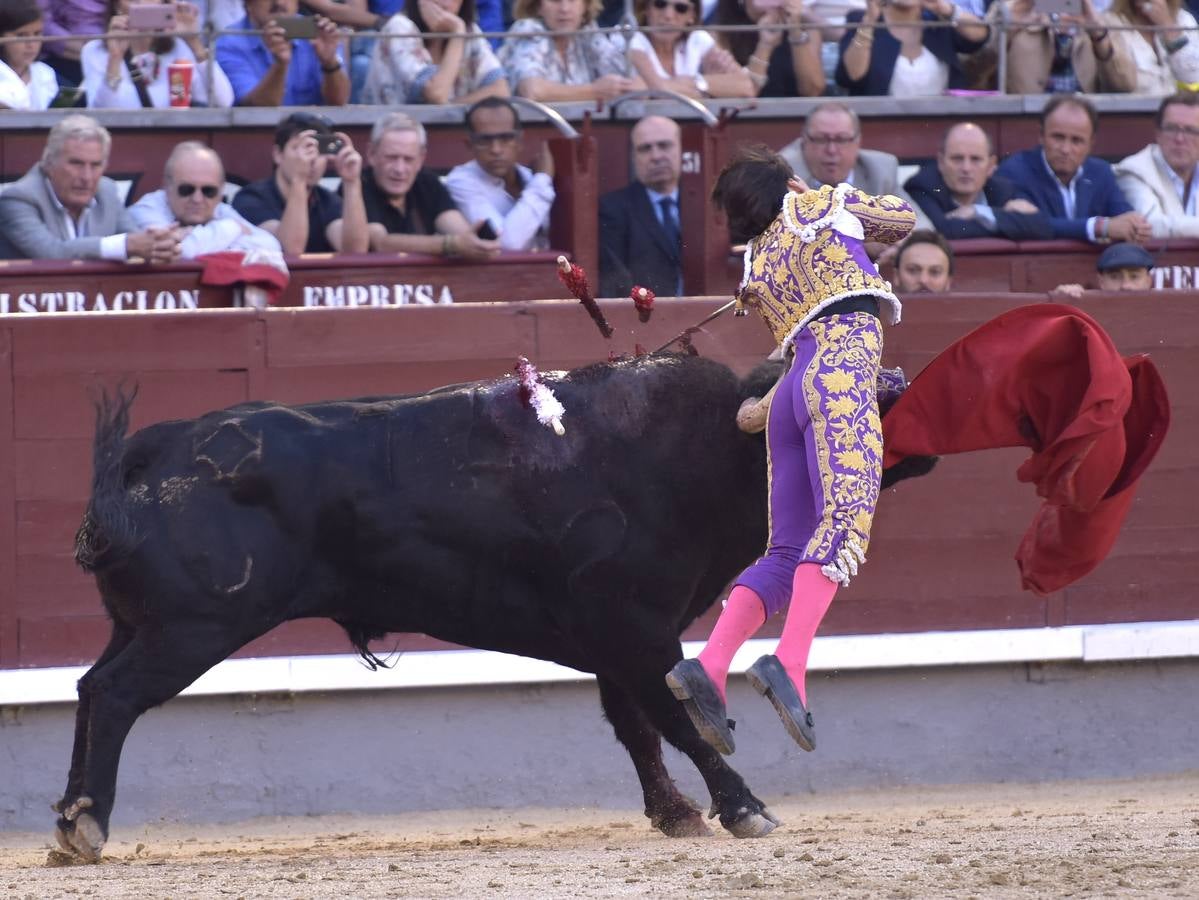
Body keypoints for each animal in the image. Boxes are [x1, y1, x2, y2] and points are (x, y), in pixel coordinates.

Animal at [53, 349, 925, 858]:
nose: (918, 427)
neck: (693, 445)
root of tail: (158, 446)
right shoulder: (635, 628)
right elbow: (680, 717)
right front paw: (741, 807)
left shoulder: (614, 640)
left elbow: (636, 727)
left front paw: (675, 814)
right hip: (193, 626)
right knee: (119, 695)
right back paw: (88, 825)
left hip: (140, 623)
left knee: (90, 689)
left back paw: (67, 818)